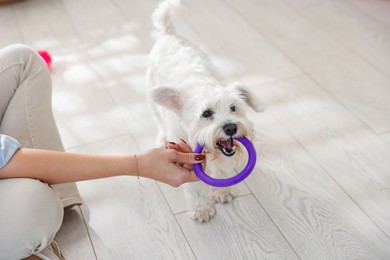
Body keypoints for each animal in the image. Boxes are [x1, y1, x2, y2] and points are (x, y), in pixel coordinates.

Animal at [147, 0, 266, 222]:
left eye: (233, 108)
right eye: (206, 113)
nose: (231, 128)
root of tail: (168, 34)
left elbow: (220, 169)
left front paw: (222, 192)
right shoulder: (184, 154)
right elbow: (193, 186)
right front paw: (201, 208)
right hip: (153, 103)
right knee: (158, 120)